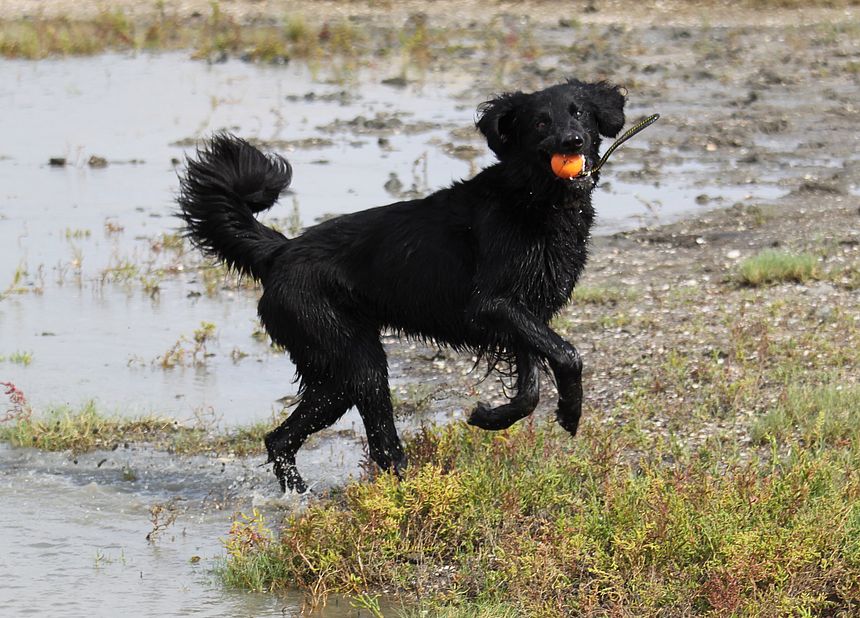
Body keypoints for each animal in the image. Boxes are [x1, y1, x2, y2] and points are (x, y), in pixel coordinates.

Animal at [178, 79, 626, 492]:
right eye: (540, 121)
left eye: (579, 113)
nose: (573, 140)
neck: (533, 198)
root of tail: (280, 251)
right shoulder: (492, 305)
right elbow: (567, 354)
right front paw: (570, 410)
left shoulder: (525, 313)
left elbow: (530, 388)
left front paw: (490, 417)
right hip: (357, 360)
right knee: (380, 442)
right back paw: (413, 492)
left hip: (335, 376)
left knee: (281, 438)